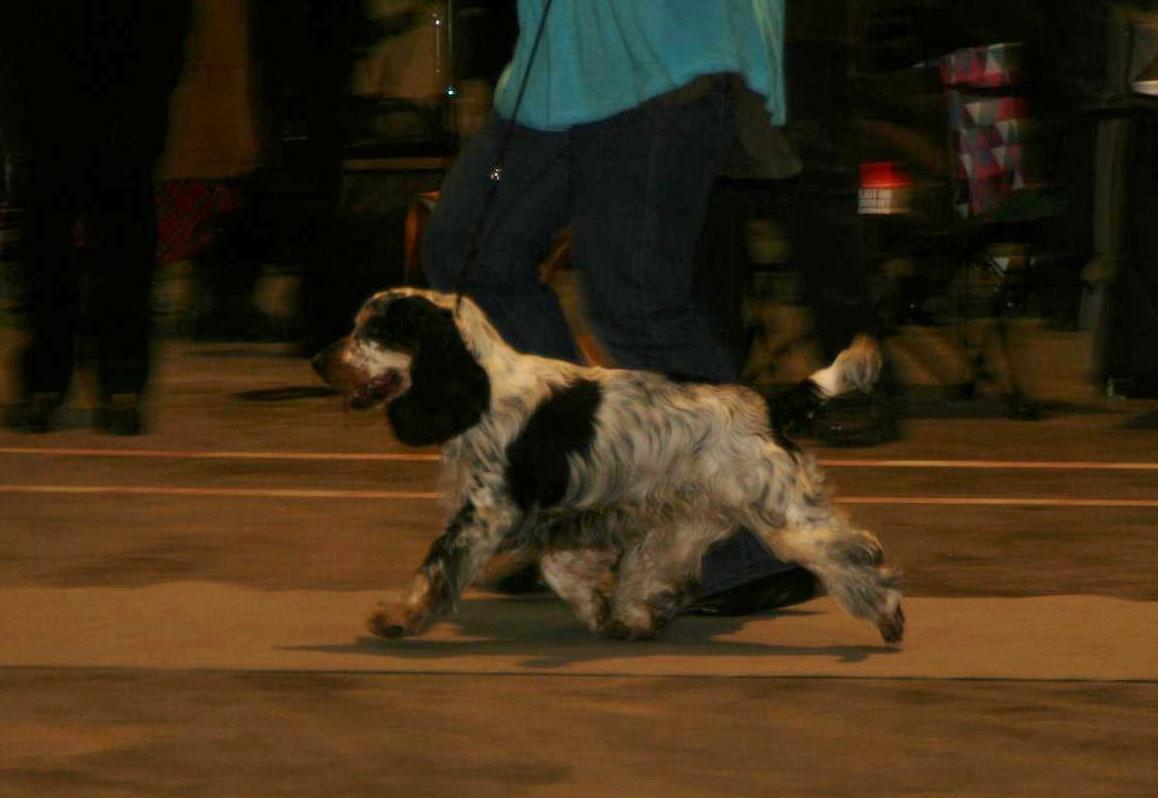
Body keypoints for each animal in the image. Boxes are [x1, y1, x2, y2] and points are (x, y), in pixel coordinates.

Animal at [314, 289, 903, 643]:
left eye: (374, 331)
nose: (319, 360)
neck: (480, 387)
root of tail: (767, 403)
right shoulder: (579, 516)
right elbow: (561, 567)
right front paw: (600, 611)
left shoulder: (487, 511)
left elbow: (436, 567)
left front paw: (398, 617)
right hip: (688, 518)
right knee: (667, 572)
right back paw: (643, 617)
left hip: (781, 512)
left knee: (856, 550)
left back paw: (888, 614)